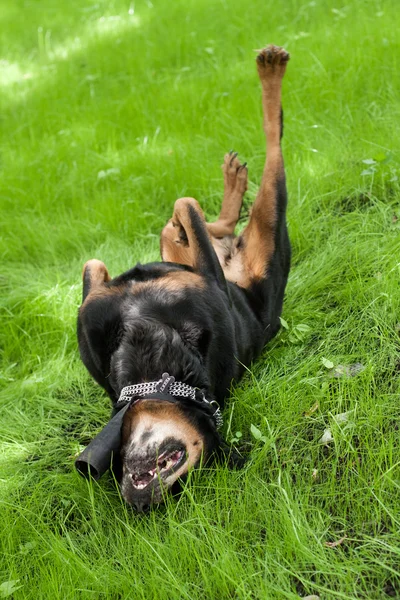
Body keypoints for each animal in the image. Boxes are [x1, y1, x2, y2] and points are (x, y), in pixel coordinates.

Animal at [77, 45, 290, 510]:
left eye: (182, 469)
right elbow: (99, 265)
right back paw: (229, 188)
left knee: (274, 142)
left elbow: (184, 202)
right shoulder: (94, 308)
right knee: (205, 226)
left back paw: (270, 74)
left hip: (268, 239)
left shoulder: (209, 284)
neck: (155, 371)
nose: (140, 500)